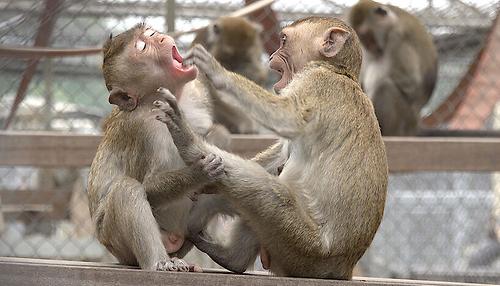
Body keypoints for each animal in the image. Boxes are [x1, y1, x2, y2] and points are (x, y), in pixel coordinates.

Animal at [87, 23, 226, 272]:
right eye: (142, 46)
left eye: (150, 33)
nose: (161, 38)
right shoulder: (142, 129)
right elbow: (148, 184)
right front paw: (199, 172)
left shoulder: (196, 95)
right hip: (114, 241)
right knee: (126, 190)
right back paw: (159, 262)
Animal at [154, 16, 388, 280]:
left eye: (283, 40)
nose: (271, 56)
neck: (339, 72)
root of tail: (342, 268)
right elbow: (281, 153)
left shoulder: (317, 83)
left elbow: (286, 117)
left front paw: (219, 73)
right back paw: (229, 255)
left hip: (305, 248)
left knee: (267, 191)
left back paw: (190, 144)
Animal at [348, 0, 438, 136]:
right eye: (363, 40)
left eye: (369, 36)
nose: (371, 48)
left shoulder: (398, 37)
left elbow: (410, 83)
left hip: (405, 122)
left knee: (385, 87)